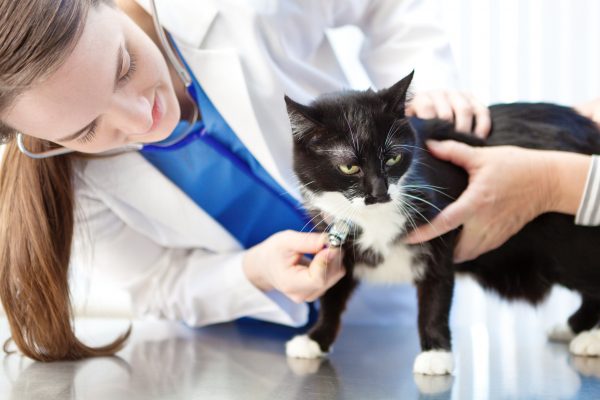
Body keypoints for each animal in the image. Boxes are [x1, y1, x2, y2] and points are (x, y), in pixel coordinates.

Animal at [284, 72, 600, 376]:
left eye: (393, 158)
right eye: (349, 167)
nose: (380, 192)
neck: (374, 218)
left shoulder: (440, 232)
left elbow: (435, 296)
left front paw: (436, 354)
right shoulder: (337, 237)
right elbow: (332, 292)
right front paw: (315, 338)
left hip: (567, 245)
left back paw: (590, 338)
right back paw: (573, 328)